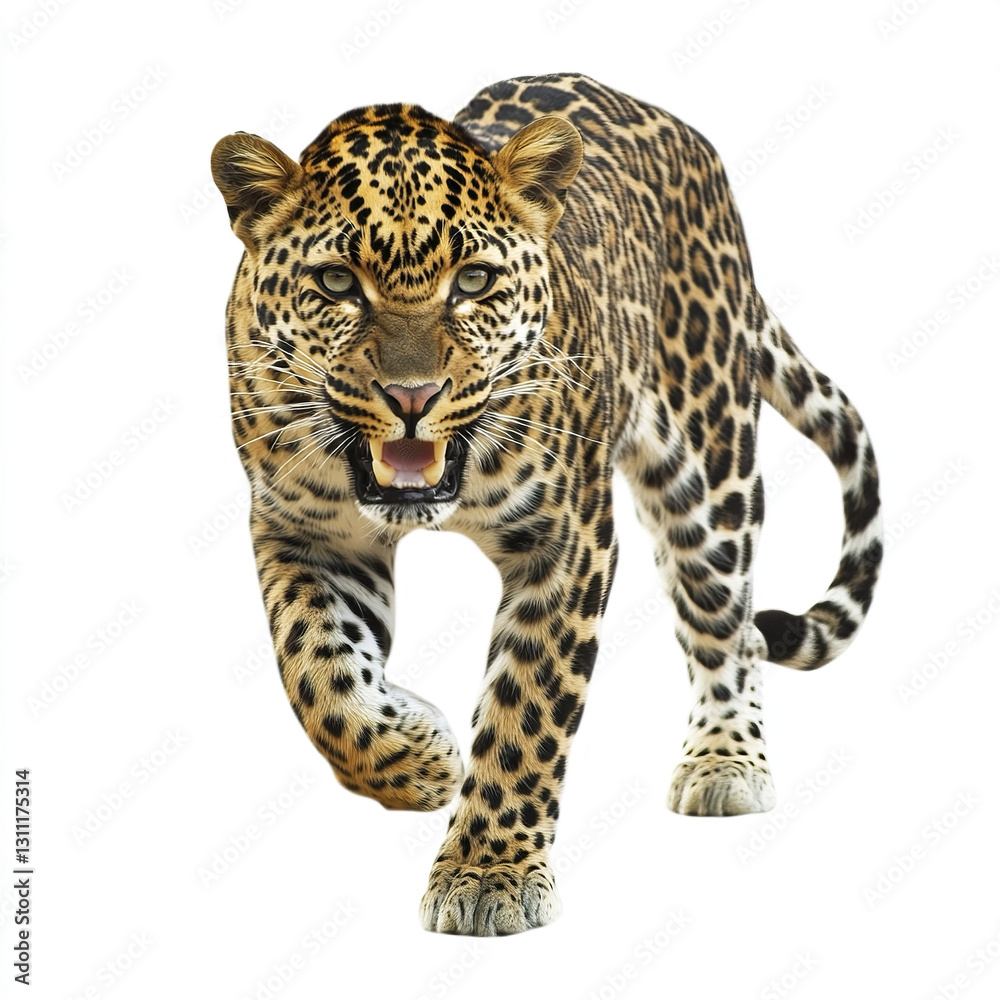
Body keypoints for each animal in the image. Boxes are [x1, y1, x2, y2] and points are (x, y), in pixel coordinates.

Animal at [210, 72, 883, 936]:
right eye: (335, 283)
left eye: (473, 282)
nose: (411, 397)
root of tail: (682, 131)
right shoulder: (305, 532)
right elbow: (319, 679)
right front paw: (419, 757)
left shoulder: (567, 538)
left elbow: (525, 708)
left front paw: (487, 875)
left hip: (709, 470)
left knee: (729, 626)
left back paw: (726, 759)